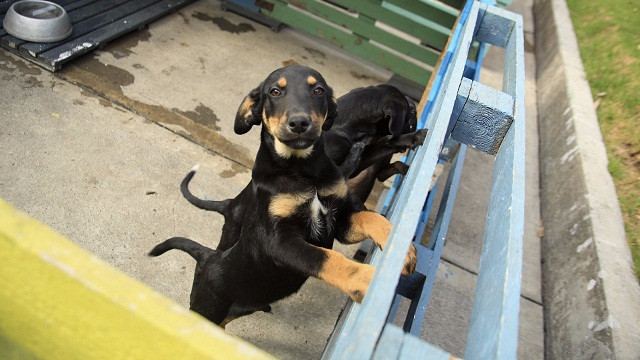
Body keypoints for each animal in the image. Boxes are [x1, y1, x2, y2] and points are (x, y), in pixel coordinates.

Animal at [152, 64, 418, 326]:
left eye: (318, 90)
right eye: (275, 92)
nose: (299, 122)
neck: (301, 169)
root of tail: (208, 257)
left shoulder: (339, 222)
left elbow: (371, 218)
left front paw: (401, 250)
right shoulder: (279, 241)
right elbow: (324, 257)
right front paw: (366, 279)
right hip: (208, 306)